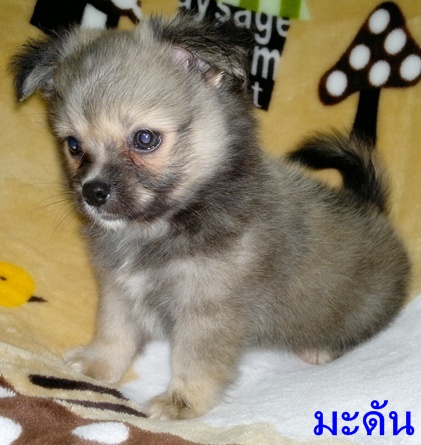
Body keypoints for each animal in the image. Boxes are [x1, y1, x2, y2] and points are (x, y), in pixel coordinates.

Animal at [11, 12, 409, 419]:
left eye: (144, 139)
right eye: (74, 145)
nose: (92, 191)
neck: (159, 227)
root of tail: (371, 207)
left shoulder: (208, 313)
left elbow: (194, 361)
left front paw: (181, 402)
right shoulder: (119, 291)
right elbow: (115, 331)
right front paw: (99, 365)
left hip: (362, 308)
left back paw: (322, 347)